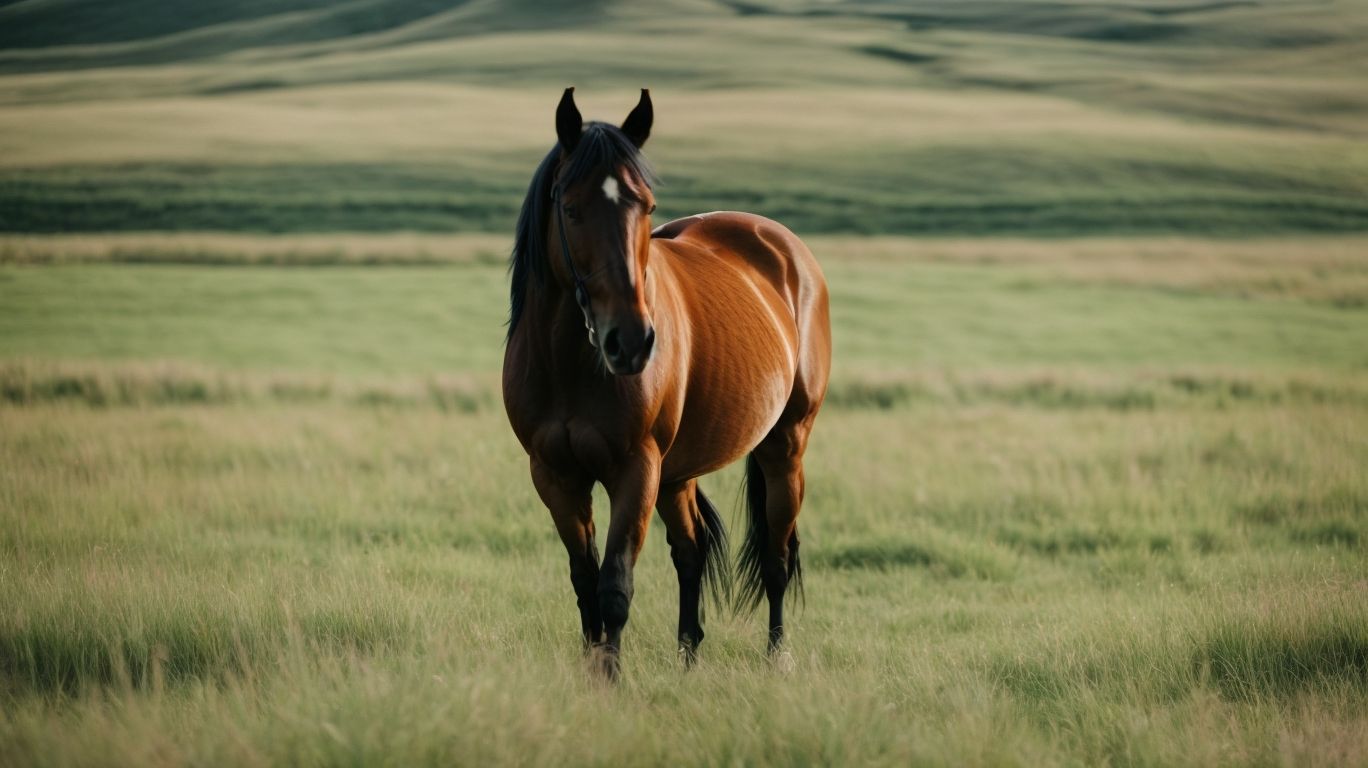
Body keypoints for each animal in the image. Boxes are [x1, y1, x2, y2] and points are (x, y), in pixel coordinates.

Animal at [502, 87, 831, 679]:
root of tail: (782, 245)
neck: (569, 365)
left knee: (775, 556)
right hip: (679, 473)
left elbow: (614, 587)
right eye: (571, 208)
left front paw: (609, 679)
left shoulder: (637, 470)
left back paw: (776, 657)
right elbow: (585, 583)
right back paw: (688, 658)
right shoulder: (555, 476)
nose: (631, 341)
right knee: (691, 551)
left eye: (648, 206)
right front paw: (592, 671)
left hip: (784, 447)